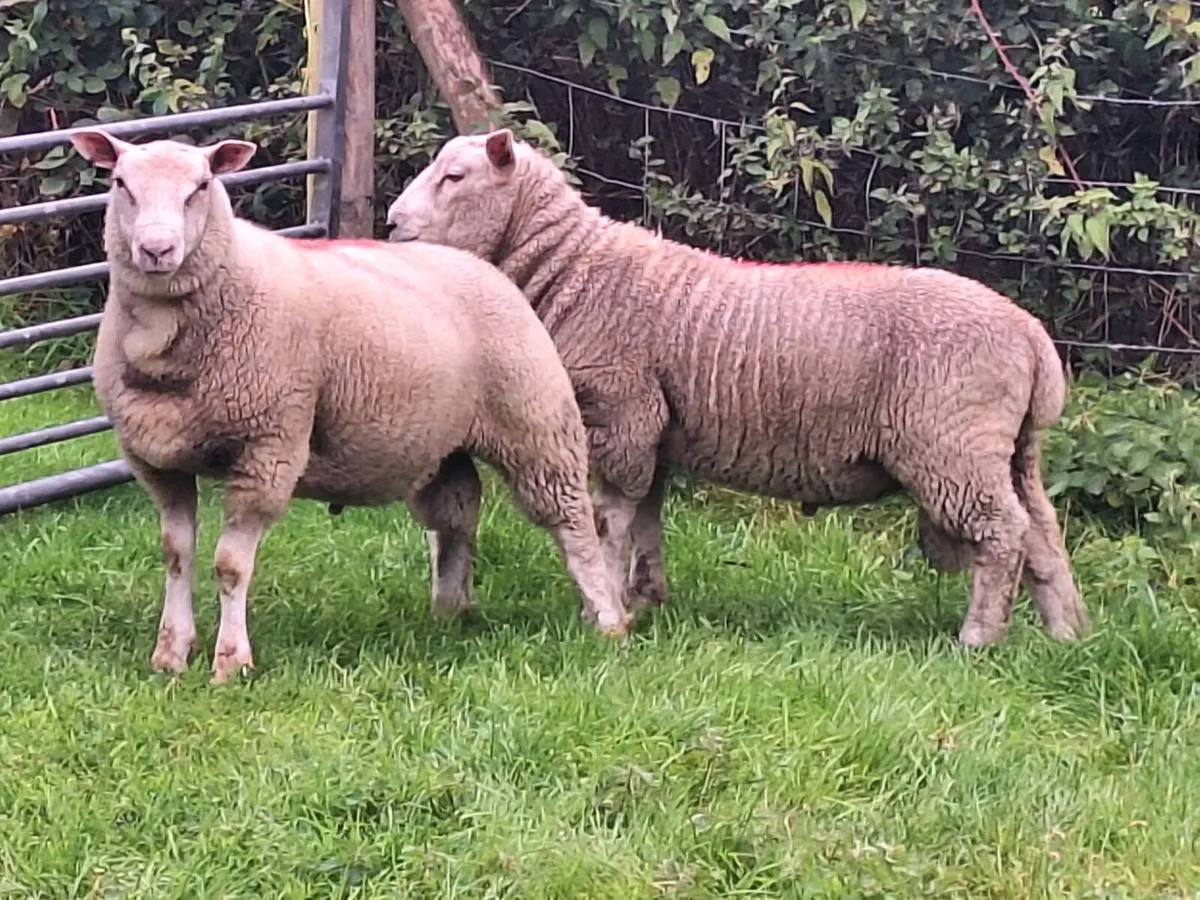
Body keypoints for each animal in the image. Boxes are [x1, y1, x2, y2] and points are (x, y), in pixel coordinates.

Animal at [66, 129, 632, 684]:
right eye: (120, 183)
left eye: (201, 186)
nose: (156, 249)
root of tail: (479, 264)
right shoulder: (157, 461)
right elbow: (176, 555)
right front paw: (170, 654)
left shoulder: (268, 447)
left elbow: (230, 565)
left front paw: (231, 663)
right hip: (440, 442)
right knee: (457, 511)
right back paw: (451, 611)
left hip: (535, 419)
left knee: (573, 521)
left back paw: (607, 620)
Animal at [384, 128, 1091, 649]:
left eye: (455, 178)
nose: (391, 224)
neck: (574, 271)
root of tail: (1032, 339)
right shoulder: (656, 429)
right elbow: (647, 516)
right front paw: (646, 596)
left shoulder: (622, 415)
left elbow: (611, 519)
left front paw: (605, 605)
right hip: (1008, 450)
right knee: (1041, 533)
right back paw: (1066, 634)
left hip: (952, 445)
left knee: (1003, 533)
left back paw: (979, 637)